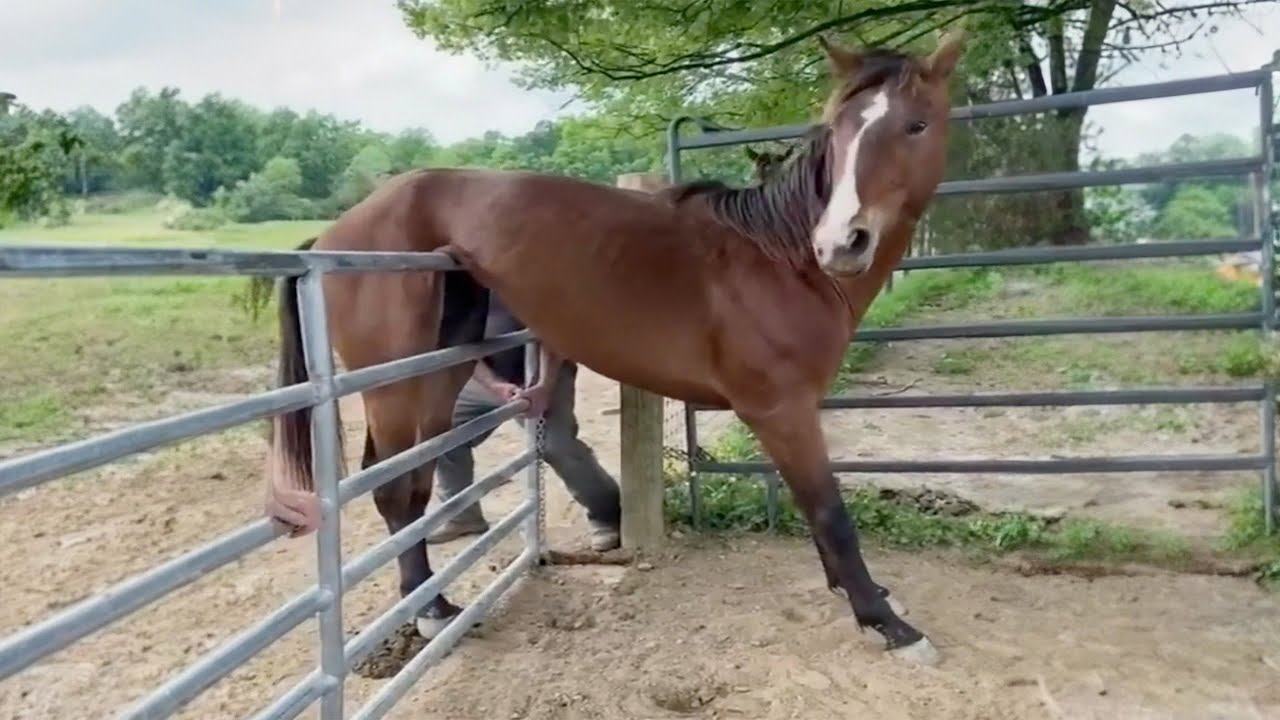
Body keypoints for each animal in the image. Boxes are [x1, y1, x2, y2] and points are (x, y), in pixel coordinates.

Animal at [263, 31, 965, 665]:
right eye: (839, 133)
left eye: (916, 125)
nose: (842, 242)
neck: (780, 261)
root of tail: (335, 232)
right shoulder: (781, 412)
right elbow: (830, 513)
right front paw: (887, 625)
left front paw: (866, 600)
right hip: (392, 385)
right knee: (392, 491)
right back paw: (430, 611)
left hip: (435, 374)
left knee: (410, 488)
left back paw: (435, 605)